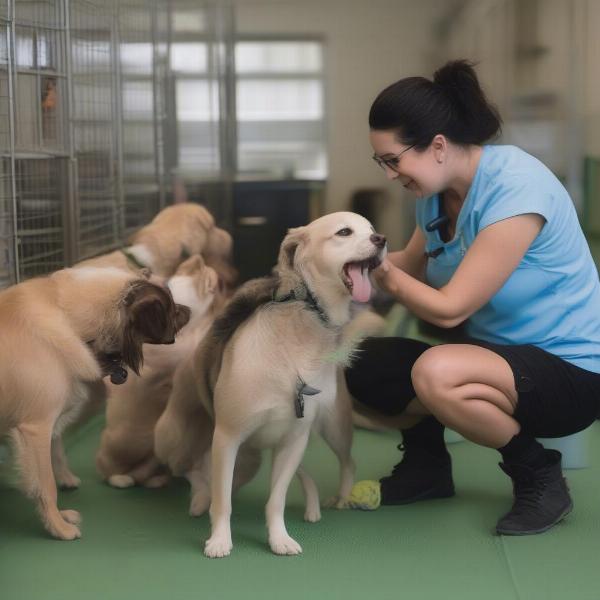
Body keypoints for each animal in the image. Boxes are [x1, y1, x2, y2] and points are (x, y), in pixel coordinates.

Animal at [0, 268, 190, 540]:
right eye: (171, 308)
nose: (189, 310)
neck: (70, 318)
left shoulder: (45, 430)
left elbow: (56, 455)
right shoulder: (36, 429)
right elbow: (46, 485)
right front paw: (58, 526)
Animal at [96, 255, 223, 490]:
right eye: (221, 283)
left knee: (143, 473)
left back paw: (155, 479)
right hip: (128, 444)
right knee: (107, 467)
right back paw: (121, 479)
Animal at [155, 212, 386, 556]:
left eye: (371, 230)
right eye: (344, 232)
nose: (381, 240)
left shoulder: (292, 443)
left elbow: (275, 500)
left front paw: (279, 539)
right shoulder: (226, 439)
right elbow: (223, 501)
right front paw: (220, 540)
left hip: (334, 427)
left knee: (349, 462)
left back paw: (341, 498)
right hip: (170, 437)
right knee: (192, 472)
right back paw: (199, 498)